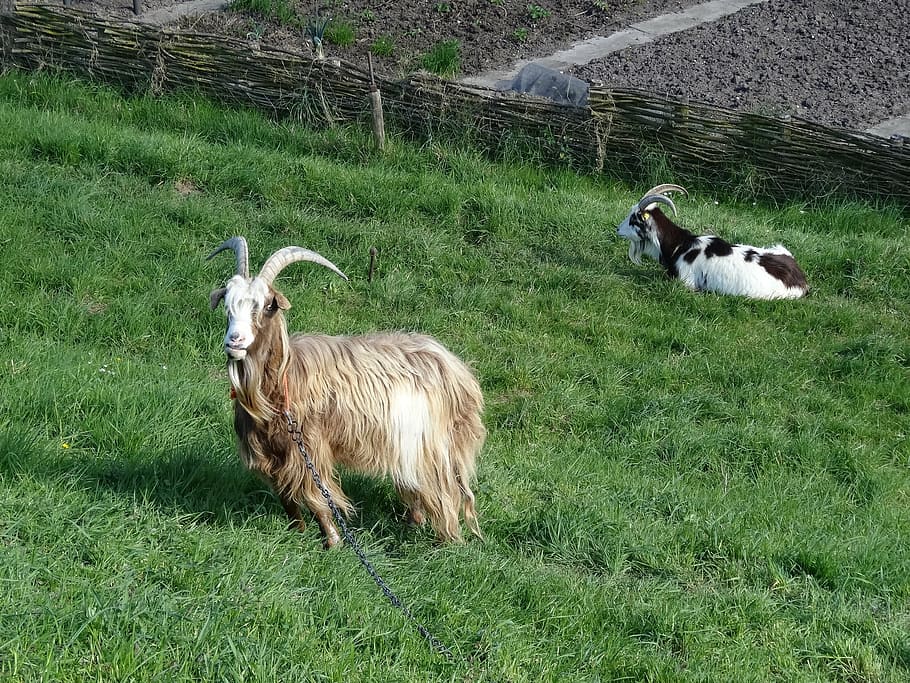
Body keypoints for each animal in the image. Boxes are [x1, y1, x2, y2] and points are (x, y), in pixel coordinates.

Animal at [207, 237, 485, 547]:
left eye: (268, 306)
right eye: (227, 305)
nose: (235, 340)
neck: (283, 383)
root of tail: (458, 370)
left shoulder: (308, 445)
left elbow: (317, 497)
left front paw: (333, 542)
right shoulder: (269, 450)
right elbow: (287, 498)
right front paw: (298, 532)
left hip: (436, 445)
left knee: (443, 491)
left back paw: (446, 539)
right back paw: (415, 521)